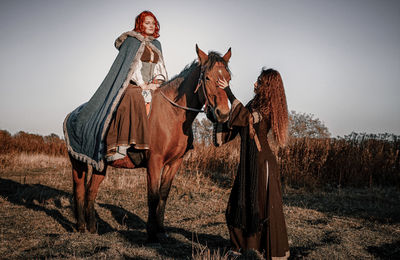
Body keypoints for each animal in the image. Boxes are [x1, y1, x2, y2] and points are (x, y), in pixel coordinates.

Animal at [69, 44, 231, 242]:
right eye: (207, 77)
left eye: (228, 78)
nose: (223, 114)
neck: (172, 115)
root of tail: (73, 113)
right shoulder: (154, 161)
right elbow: (152, 196)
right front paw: (152, 233)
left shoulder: (174, 163)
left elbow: (163, 194)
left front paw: (161, 229)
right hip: (78, 163)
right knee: (79, 190)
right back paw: (81, 226)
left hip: (100, 165)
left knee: (91, 191)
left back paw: (92, 228)